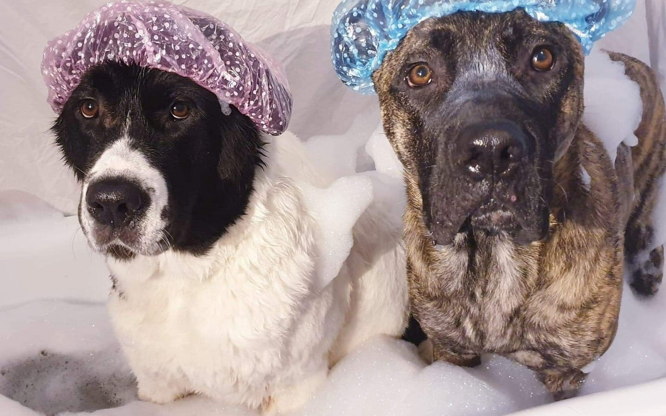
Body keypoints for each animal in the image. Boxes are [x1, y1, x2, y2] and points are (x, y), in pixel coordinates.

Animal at [51, 61, 408, 413]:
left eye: (180, 109)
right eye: (88, 108)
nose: (111, 202)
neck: (188, 274)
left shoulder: (295, 383)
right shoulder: (156, 381)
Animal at [371, 10, 666, 399]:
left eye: (542, 57)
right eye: (419, 73)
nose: (491, 151)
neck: (495, 256)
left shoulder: (566, 372)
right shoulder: (452, 351)